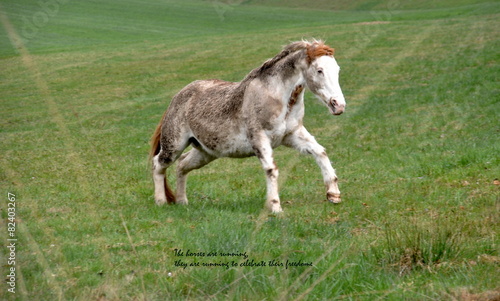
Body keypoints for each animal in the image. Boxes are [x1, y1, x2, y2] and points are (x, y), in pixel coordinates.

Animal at [148, 39, 346, 212]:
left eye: (337, 69)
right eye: (319, 70)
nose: (339, 105)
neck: (276, 97)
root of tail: (176, 98)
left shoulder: (292, 134)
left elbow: (320, 152)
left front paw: (333, 194)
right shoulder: (259, 138)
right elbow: (271, 170)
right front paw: (275, 208)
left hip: (205, 152)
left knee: (182, 165)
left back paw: (182, 201)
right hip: (174, 145)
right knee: (158, 164)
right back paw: (161, 202)